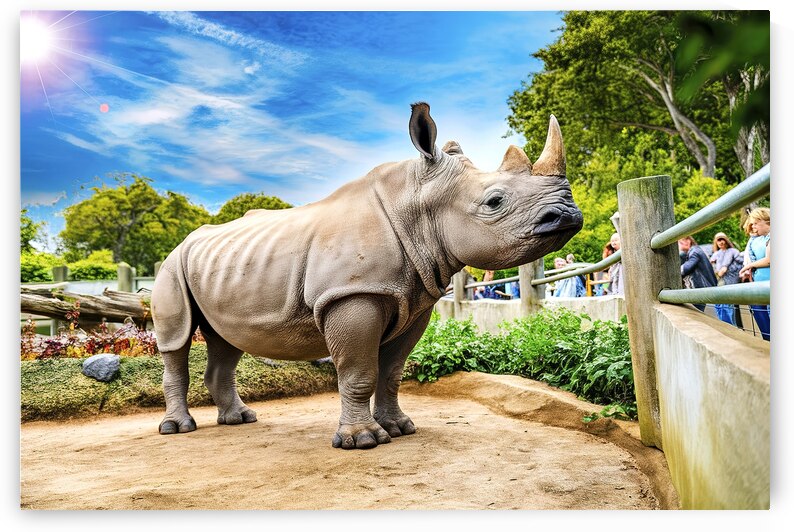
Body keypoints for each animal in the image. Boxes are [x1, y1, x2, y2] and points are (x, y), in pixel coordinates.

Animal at [151, 102, 582, 449]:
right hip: (171, 268)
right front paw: (362, 441)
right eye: (494, 202)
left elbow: (391, 372)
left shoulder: (414, 299)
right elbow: (359, 372)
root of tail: (182, 244)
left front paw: (400, 428)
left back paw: (239, 420)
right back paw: (177, 429)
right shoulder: (352, 294)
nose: (568, 215)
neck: (416, 204)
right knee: (176, 340)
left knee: (226, 339)